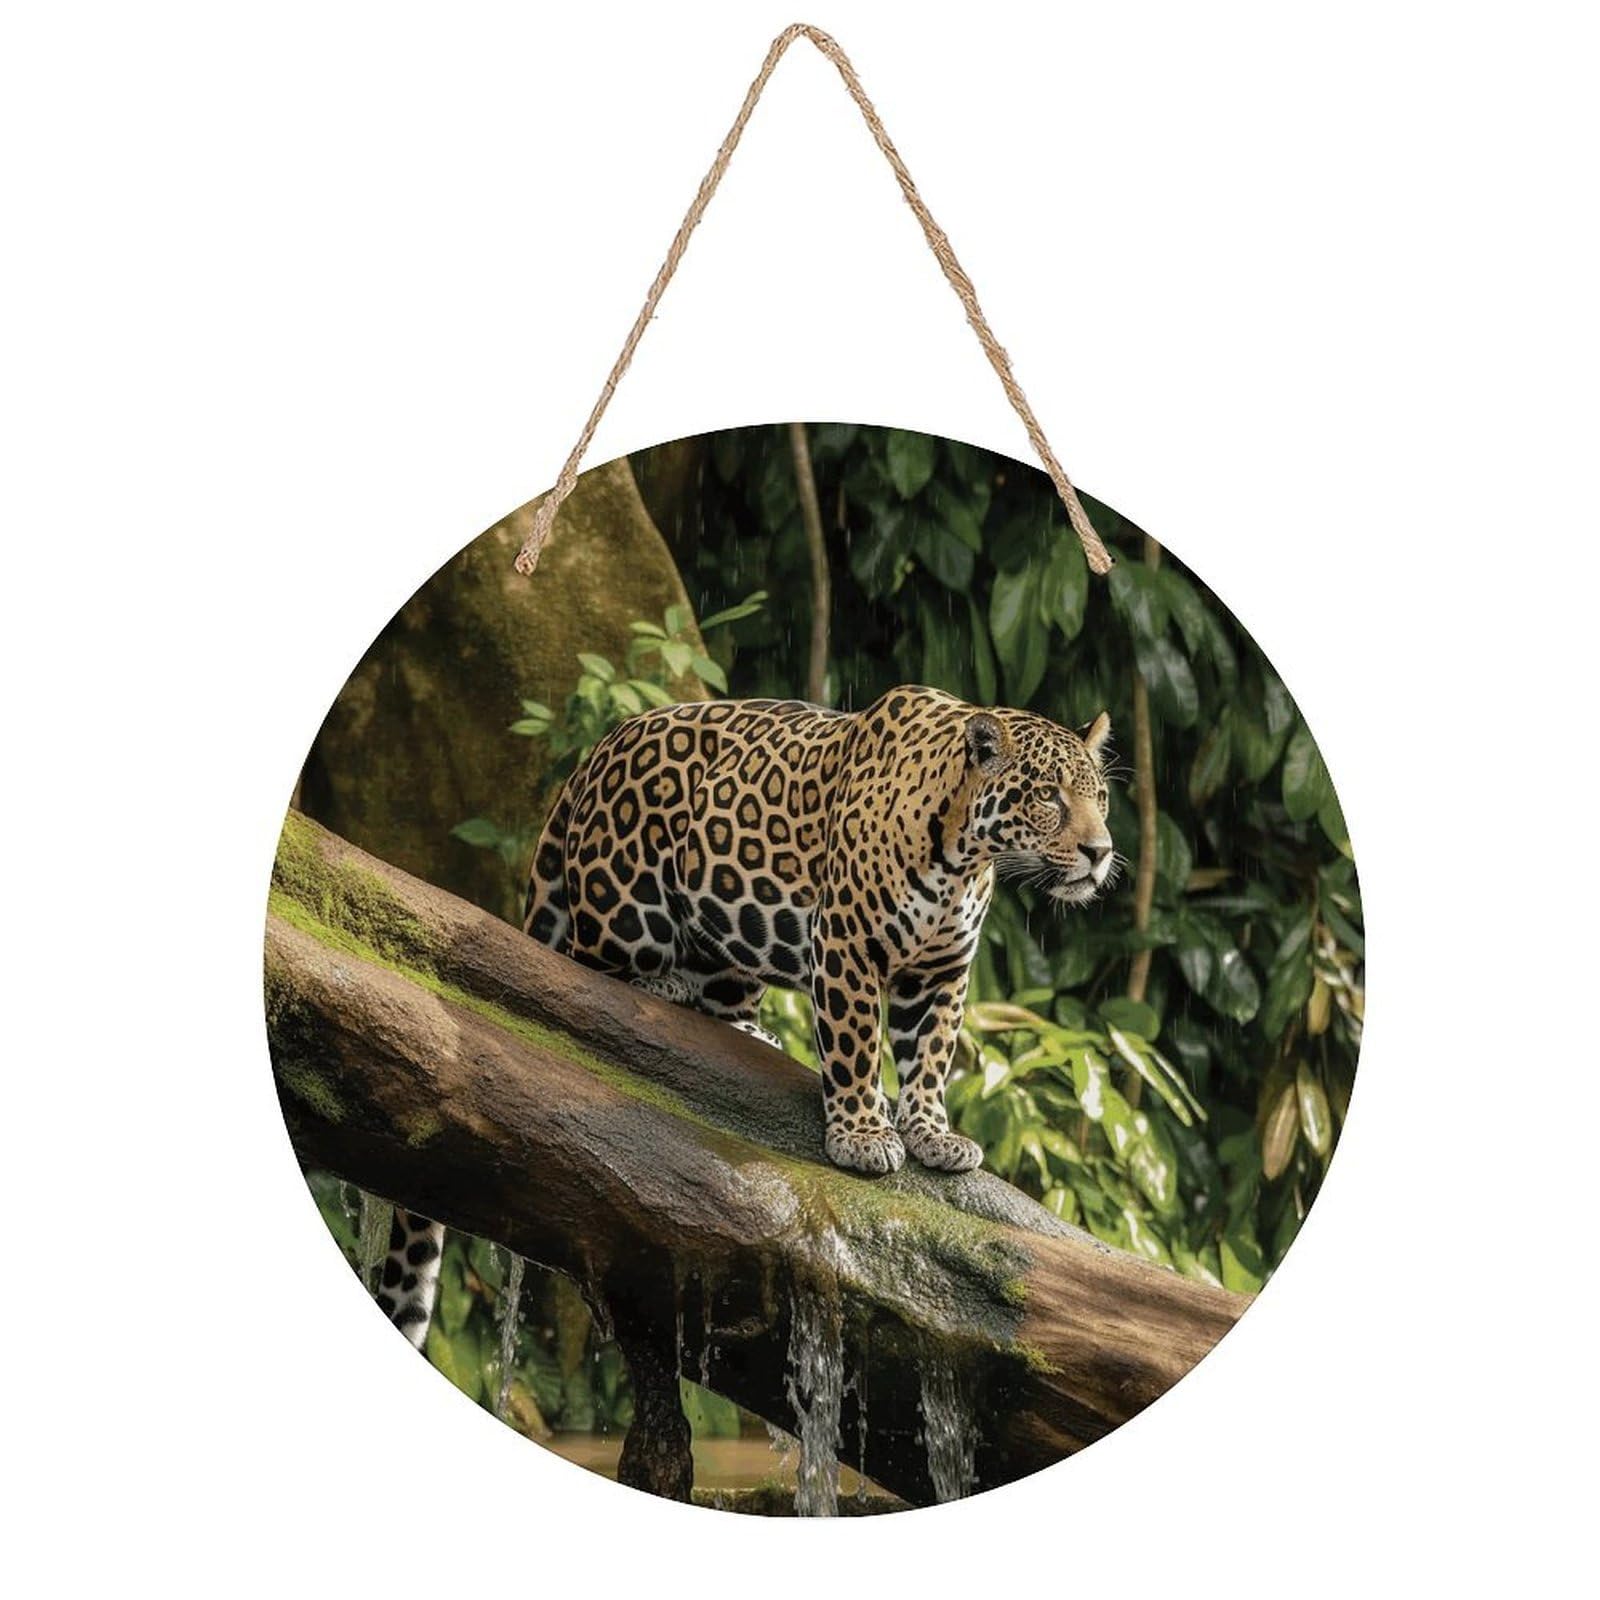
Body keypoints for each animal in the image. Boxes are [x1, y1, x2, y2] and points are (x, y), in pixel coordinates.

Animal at [375, 684, 1115, 1346]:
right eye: (1048, 795)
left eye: (1100, 798)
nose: (1100, 851)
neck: (962, 855)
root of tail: (594, 754)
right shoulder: (845, 945)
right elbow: (855, 1043)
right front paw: (862, 1137)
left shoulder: (941, 973)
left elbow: (930, 1058)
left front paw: (932, 1135)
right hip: (629, 907)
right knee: (581, 966)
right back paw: (663, 984)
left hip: (731, 928)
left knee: (720, 998)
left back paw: (755, 1033)